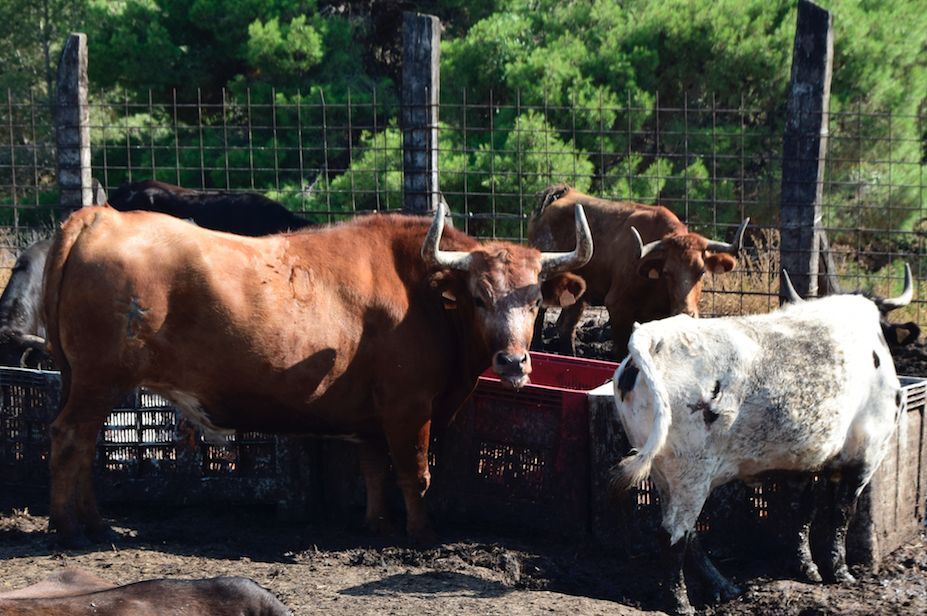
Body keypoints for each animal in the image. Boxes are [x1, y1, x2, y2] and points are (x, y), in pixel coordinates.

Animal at [43, 200, 592, 548]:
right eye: (479, 296)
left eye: (535, 299)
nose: (513, 362)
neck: (420, 291)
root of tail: (101, 216)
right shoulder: (409, 407)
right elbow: (414, 472)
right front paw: (423, 535)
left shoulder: (372, 415)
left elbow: (374, 469)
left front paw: (377, 526)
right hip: (99, 382)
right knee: (70, 439)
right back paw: (69, 528)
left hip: (86, 382)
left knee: (85, 445)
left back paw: (96, 524)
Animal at [528, 183, 748, 356]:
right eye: (667, 272)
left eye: (701, 272)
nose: (685, 312)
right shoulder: (617, 306)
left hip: (579, 295)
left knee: (566, 327)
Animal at [612, 272, 908, 612]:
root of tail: (652, 338)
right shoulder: (864, 456)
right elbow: (841, 514)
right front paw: (840, 571)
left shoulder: (801, 463)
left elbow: (801, 512)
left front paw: (806, 567)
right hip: (691, 476)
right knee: (673, 535)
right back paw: (680, 603)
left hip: (665, 476)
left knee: (689, 535)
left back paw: (723, 586)